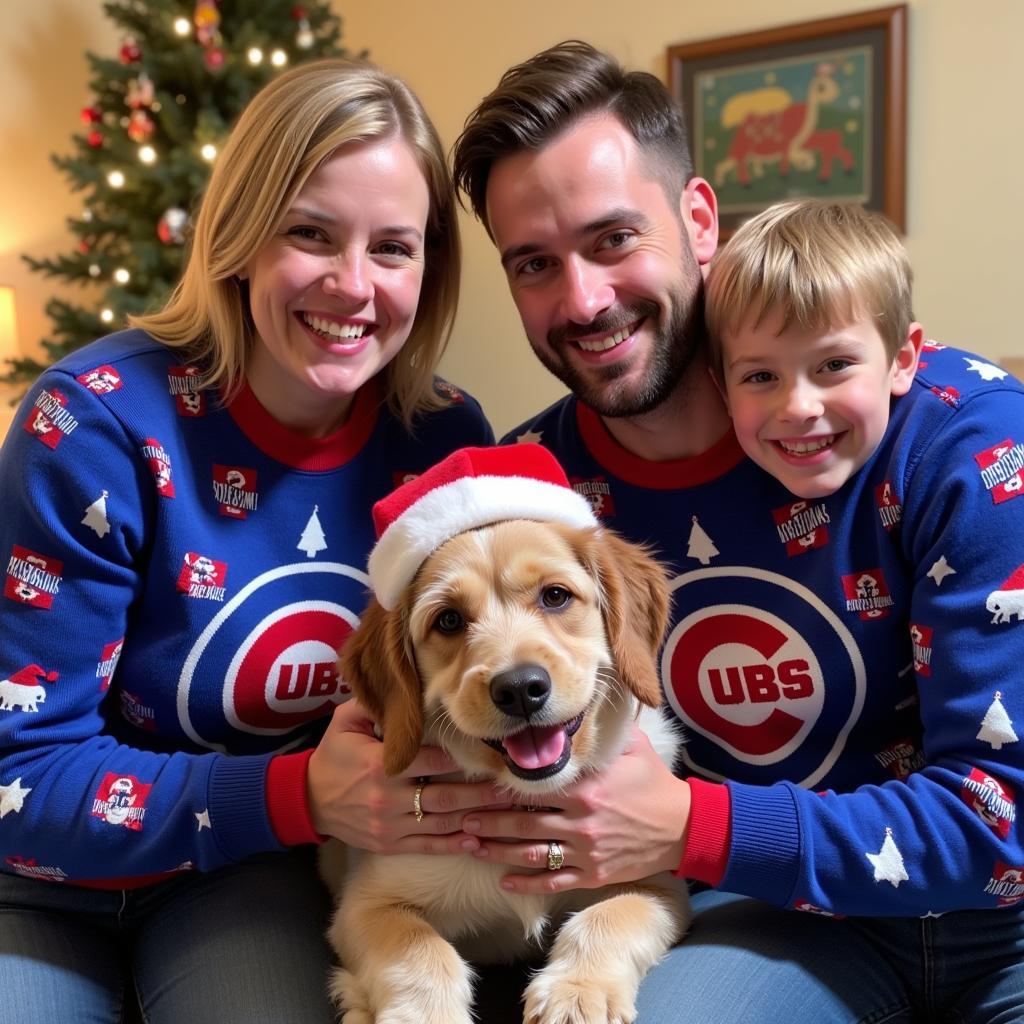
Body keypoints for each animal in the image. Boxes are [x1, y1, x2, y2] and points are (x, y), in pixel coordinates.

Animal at [319, 446, 688, 1024]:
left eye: (556, 596)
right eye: (448, 620)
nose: (519, 689)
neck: (526, 799)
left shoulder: (658, 883)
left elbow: (610, 916)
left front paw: (577, 993)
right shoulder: (365, 904)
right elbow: (423, 953)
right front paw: (427, 1015)